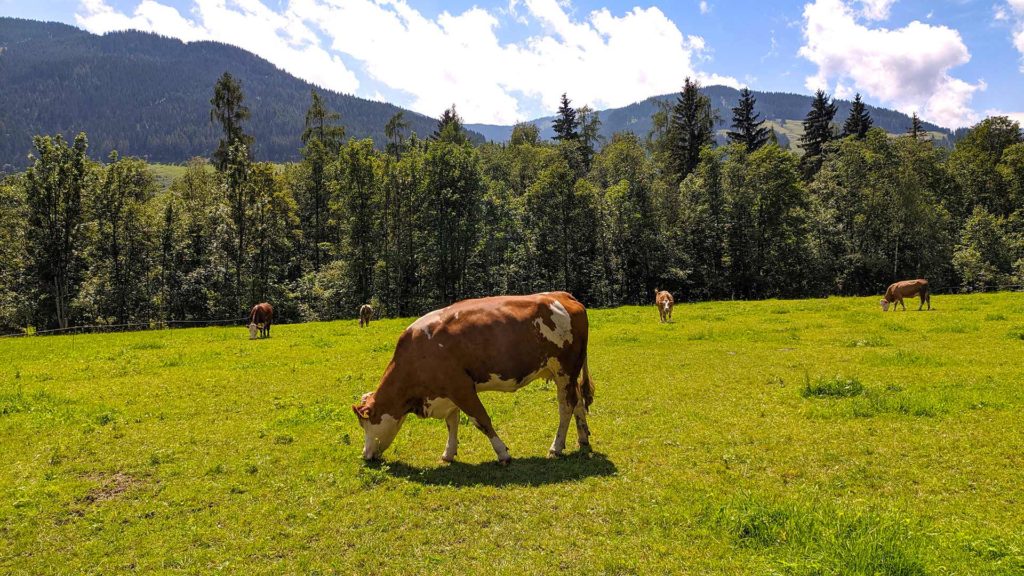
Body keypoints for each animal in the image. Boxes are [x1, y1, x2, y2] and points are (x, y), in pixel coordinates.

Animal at [354, 291, 598, 461]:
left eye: (365, 423)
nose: (365, 455)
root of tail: (562, 295)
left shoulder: (460, 387)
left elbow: (480, 419)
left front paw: (502, 453)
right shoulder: (446, 391)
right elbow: (452, 422)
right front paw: (448, 453)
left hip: (564, 369)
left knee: (566, 406)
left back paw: (556, 447)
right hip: (566, 374)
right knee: (577, 401)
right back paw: (583, 438)